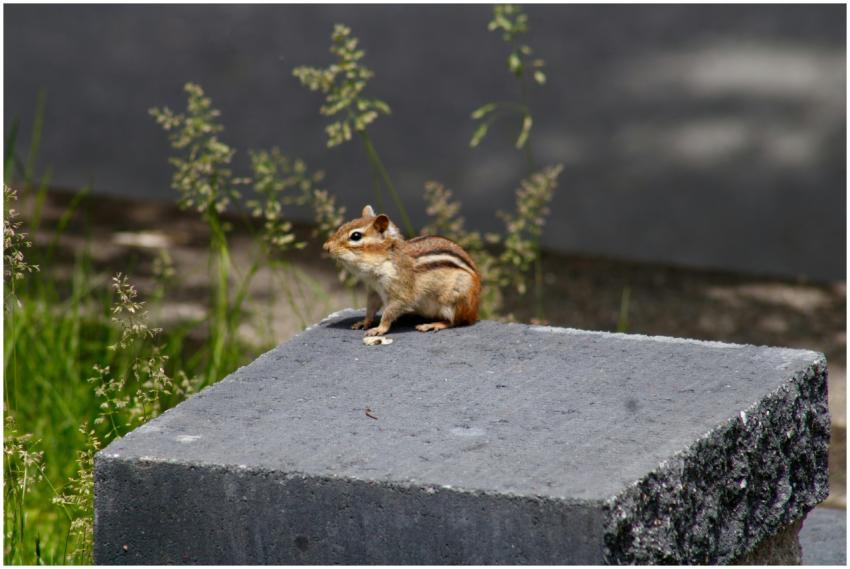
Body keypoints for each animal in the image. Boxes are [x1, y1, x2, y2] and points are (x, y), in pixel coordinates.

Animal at [323, 205, 481, 336]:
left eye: (356, 236)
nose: (326, 247)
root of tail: (474, 313)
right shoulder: (374, 291)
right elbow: (371, 308)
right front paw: (365, 322)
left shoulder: (401, 291)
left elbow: (389, 312)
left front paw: (379, 328)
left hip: (454, 301)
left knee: (454, 321)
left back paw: (432, 324)